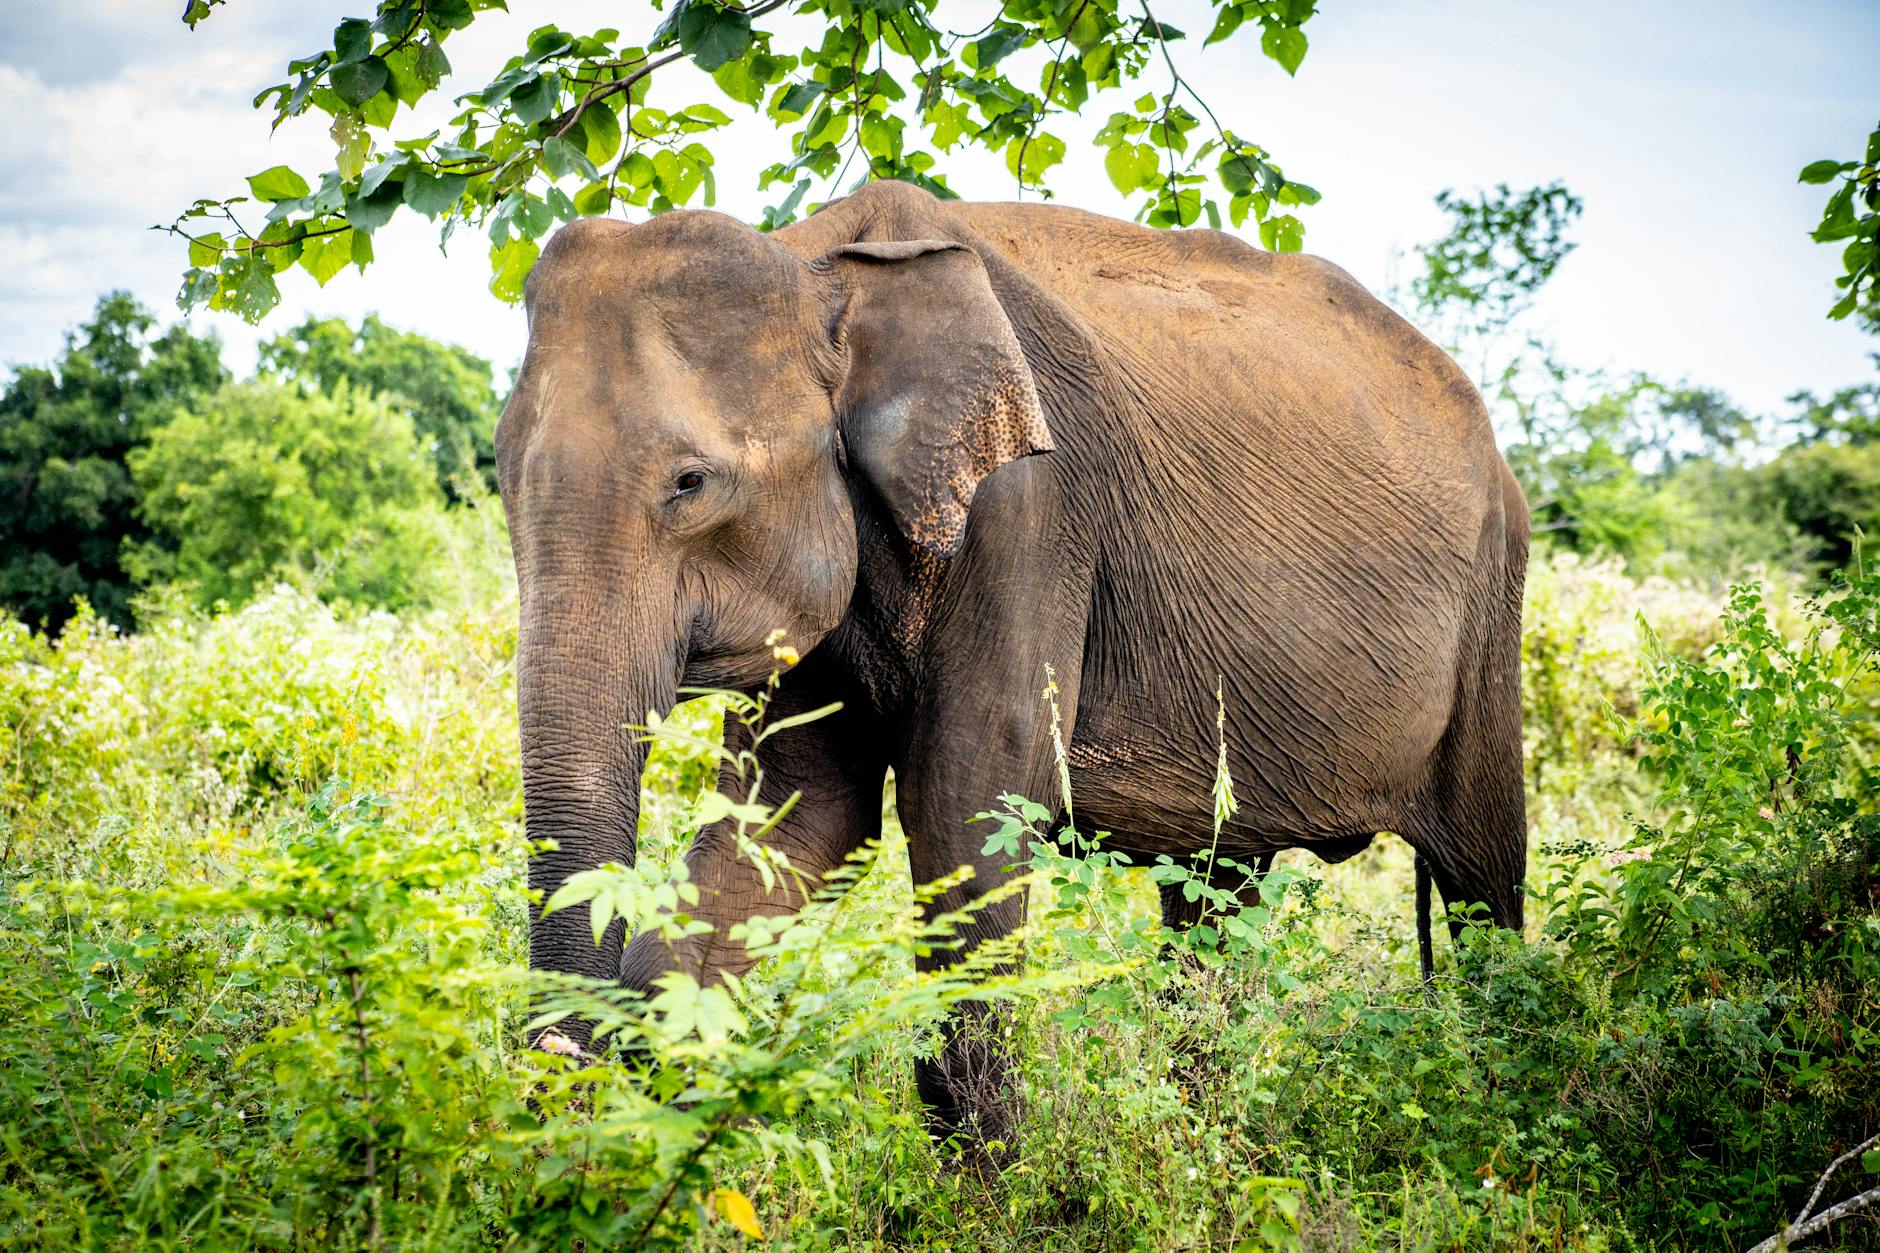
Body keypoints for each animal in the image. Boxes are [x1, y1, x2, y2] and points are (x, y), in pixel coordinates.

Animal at [495, 178, 1529, 1146]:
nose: (556, 1068)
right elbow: (794, 814)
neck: (817, 260)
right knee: (1214, 898)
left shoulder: (1032, 510)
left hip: (1493, 613)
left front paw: (993, 1187)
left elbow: (967, 801)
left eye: (689, 482)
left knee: (1482, 881)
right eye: (501, 474)